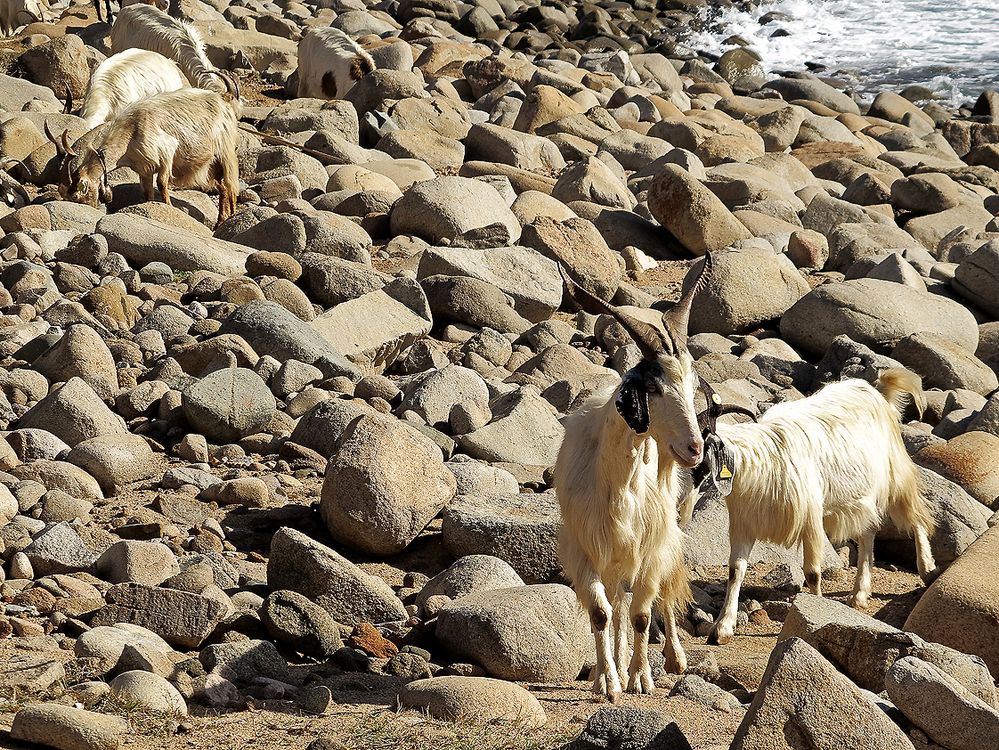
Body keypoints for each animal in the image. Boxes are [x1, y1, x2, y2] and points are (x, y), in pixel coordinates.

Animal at [47, 82, 242, 225]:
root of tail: (223, 100)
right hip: (211, 164)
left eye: (78, 195)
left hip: (225, 150)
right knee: (222, 187)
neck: (130, 131)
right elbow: (148, 192)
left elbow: (162, 183)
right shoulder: (145, 168)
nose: (93, 210)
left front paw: (169, 208)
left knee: (230, 185)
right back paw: (221, 221)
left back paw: (230, 217)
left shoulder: (167, 151)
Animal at [556, 258, 712, 704]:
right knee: (616, 606)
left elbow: (643, 614)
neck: (620, 483)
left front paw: (642, 677)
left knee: (654, 601)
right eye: (653, 388)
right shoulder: (585, 548)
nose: (695, 448)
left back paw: (672, 659)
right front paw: (608, 681)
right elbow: (601, 612)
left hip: (660, 544)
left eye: (692, 385)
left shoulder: (651, 548)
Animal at [692, 370, 940, 648]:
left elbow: (812, 573)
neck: (761, 460)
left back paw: (927, 570)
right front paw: (722, 628)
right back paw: (859, 594)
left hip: (896, 476)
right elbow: (736, 571)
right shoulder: (744, 524)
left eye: (701, 448)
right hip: (861, 495)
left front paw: (816, 613)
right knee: (868, 532)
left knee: (917, 519)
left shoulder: (810, 519)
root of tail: (877, 391)